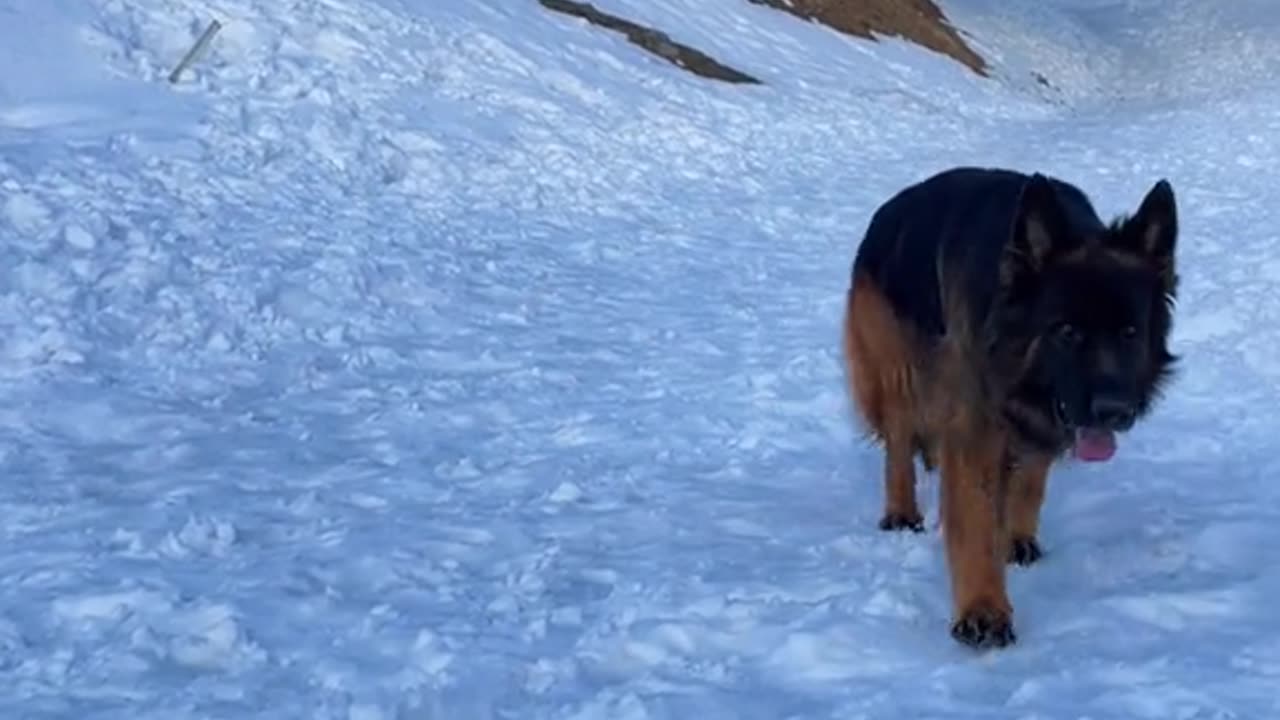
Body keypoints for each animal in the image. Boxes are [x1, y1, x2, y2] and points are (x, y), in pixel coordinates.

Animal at [839, 165, 1177, 648]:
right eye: (1067, 331)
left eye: (1129, 333)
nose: (1115, 412)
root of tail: (888, 211)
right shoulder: (976, 423)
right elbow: (975, 518)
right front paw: (983, 609)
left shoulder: (1041, 418)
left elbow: (1030, 481)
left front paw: (1016, 536)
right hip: (900, 370)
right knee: (900, 440)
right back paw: (901, 511)